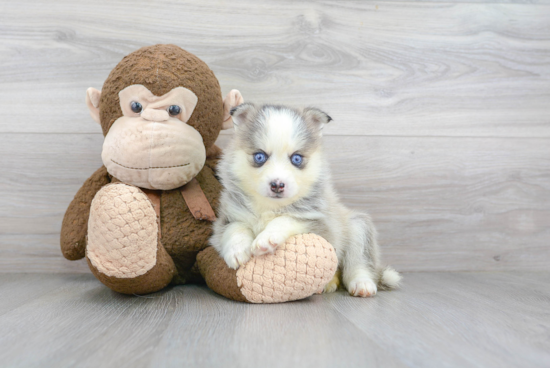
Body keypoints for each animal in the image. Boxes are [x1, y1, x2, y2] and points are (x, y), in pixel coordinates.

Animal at [210, 103, 402, 296]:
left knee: (358, 263)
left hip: (358, 226)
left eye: (296, 158)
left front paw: (267, 237)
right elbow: (235, 228)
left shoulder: (320, 225)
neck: (271, 207)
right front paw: (237, 250)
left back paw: (362, 283)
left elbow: (286, 219)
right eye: (260, 156)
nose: (277, 185)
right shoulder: (228, 218)